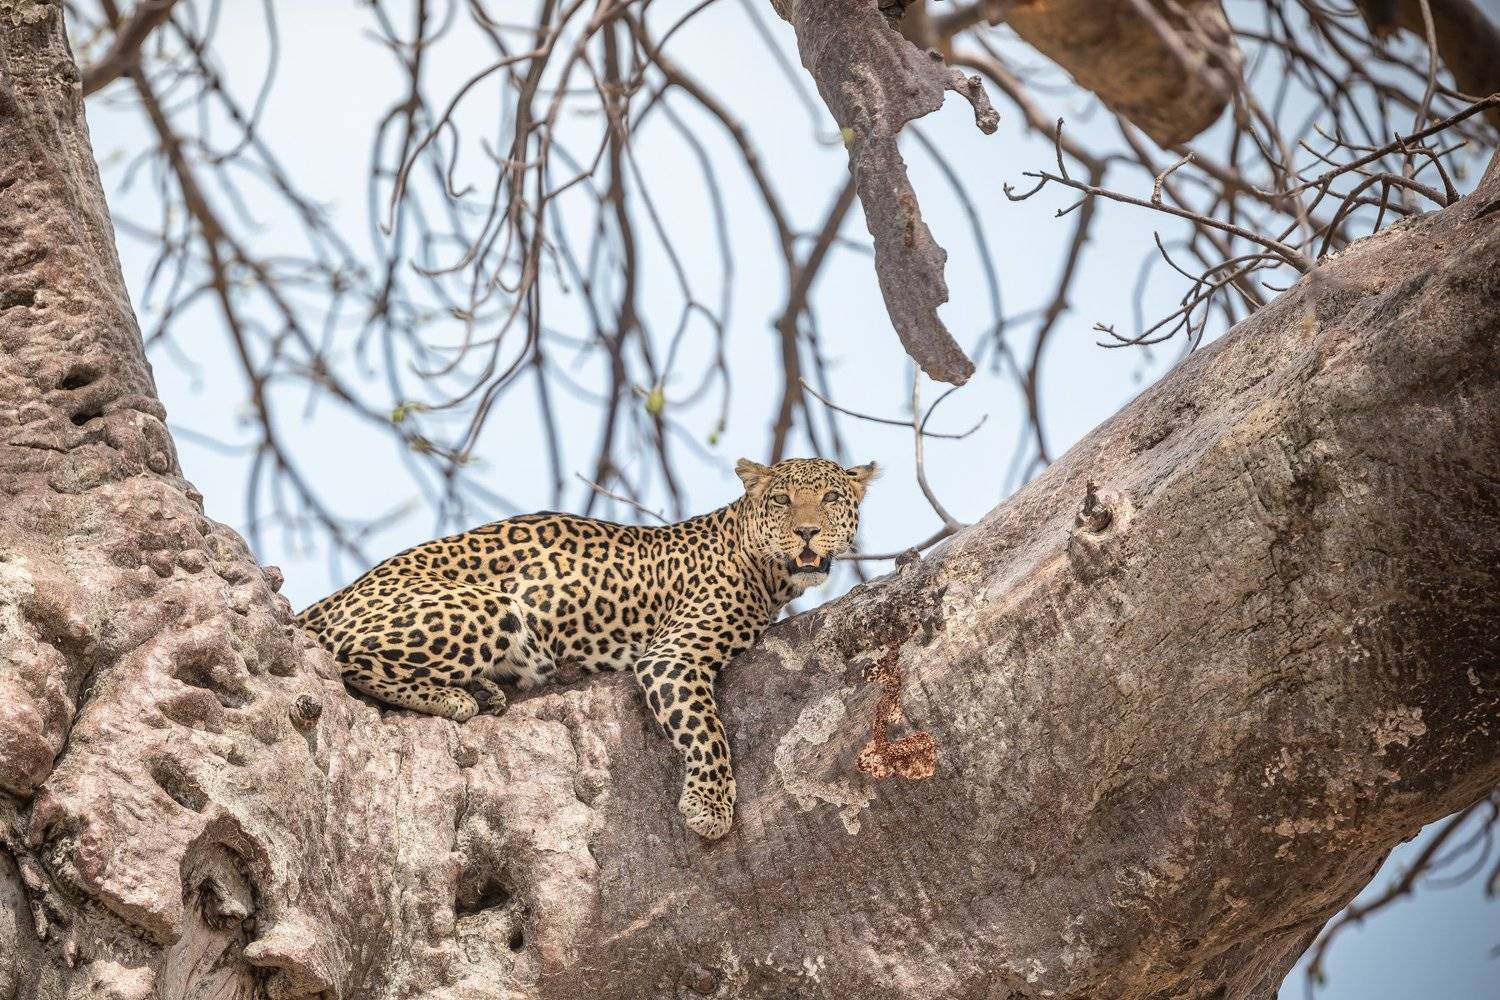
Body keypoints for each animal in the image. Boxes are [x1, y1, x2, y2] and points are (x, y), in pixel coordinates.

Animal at [297, 457, 877, 839]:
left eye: (831, 499)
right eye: (782, 501)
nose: (807, 532)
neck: (767, 573)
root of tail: (338, 594)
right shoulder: (672, 656)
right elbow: (707, 731)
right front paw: (709, 807)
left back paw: (481, 690)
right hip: (491, 607)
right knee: (347, 659)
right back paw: (456, 697)